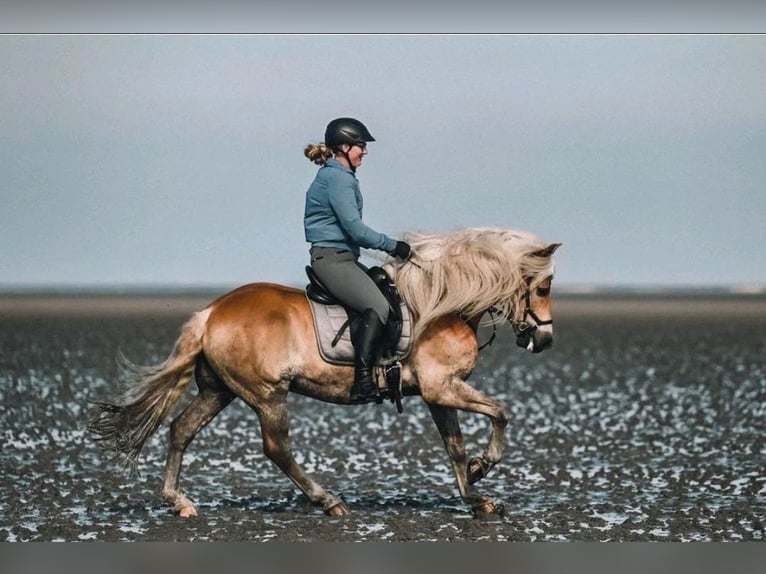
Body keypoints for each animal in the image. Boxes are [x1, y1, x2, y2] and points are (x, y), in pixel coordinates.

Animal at [87, 227, 560, 520]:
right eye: (543, 286)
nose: (545, 340)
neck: (442, 307)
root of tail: (211, 312)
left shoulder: (436, 394)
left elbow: (455, 447)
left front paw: (476, 496)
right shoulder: (443, 387)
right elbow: (500, 413)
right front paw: (483, 468)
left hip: (220, 390)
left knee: (181, 430)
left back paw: (178, 502)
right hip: (267, 395)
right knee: (277, 448)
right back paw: (328, 501)